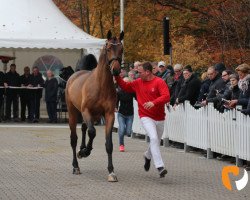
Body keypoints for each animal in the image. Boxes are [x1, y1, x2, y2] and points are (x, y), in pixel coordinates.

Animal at [65, 30, 124, 182]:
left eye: (121, 49)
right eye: (108, 48)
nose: (116, 70)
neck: (101, 85)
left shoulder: (109, 115)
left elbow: (108, 144)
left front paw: (111, 171)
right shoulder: (86, 111)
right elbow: (92, 132)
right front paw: (85, 151)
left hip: (94, 116)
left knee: (84, 128)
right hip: (73, 112)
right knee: (74, 138)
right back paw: (76, 165)